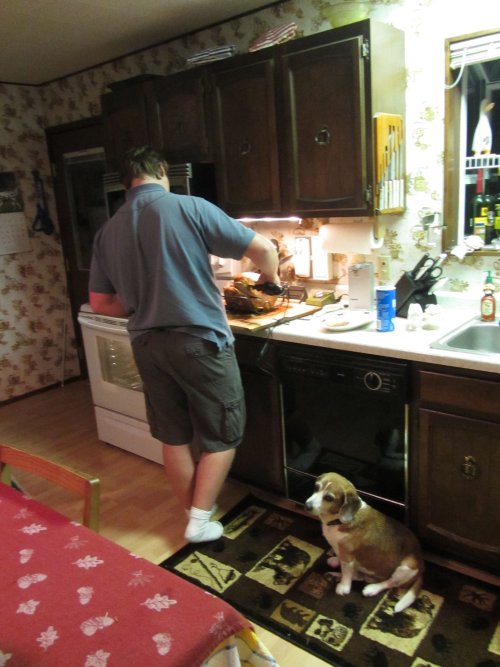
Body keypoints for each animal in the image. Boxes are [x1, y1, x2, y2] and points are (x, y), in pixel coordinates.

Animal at [304, 472, 422, 612]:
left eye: (328, 498)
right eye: (316, 487)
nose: (306, 505)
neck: (339, 520)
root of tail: (422, 566)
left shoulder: (348, 556)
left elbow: (347, 572)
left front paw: (343, 587)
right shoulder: (342, 553)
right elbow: (345, 566)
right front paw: (336, 562)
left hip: (406, 565)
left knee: (390, 582)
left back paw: (372, 589)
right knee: (361, 576)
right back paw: (334, 574)